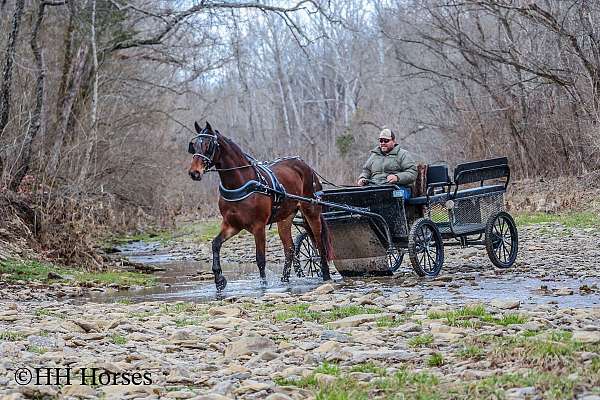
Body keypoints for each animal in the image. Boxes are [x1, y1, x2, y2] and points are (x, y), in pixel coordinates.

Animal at [186, 120, 332, 290]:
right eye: (194, 145)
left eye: (208, 145)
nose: (194, 172)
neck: (241, 184)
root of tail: (306, 166)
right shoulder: (232, 225)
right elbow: (215, 244)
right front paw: (219, 279)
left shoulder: (258, 226)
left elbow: (260, 258)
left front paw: (263, 284)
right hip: (285, 217)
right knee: (289, 249)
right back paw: (285, 280)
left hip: (311, 209)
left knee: (319, 241)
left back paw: (325, 273)